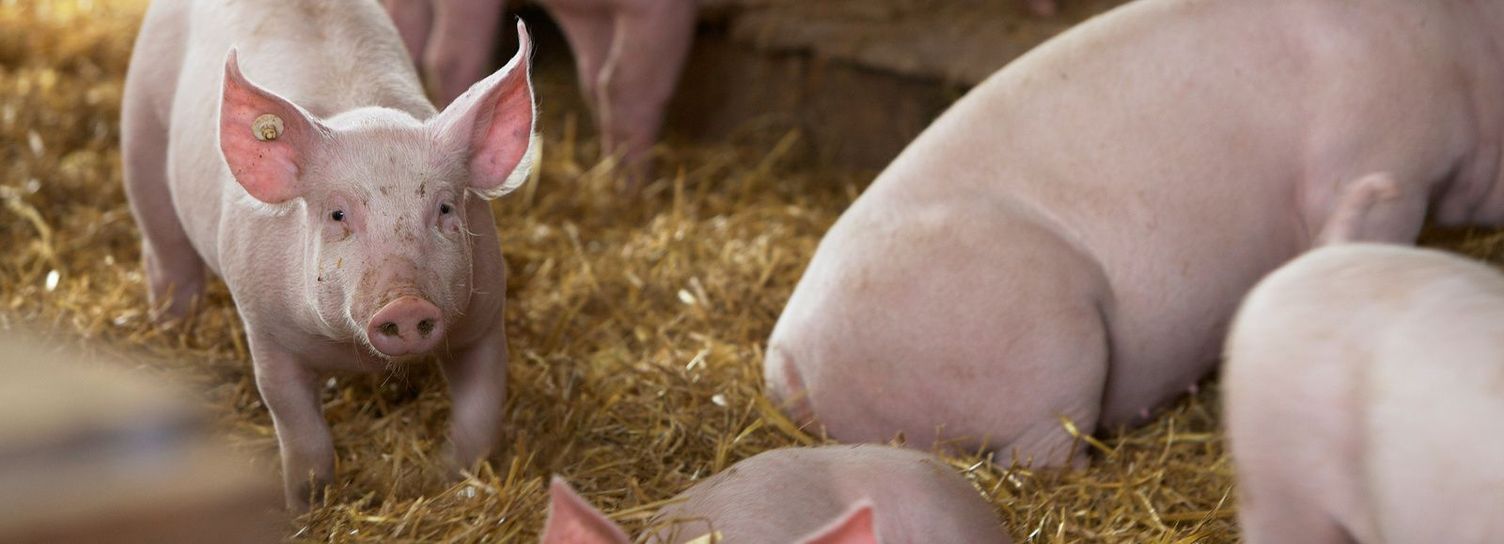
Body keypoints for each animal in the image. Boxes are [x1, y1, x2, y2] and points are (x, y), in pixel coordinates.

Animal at [120, 0, 538, 509]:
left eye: (444, 208)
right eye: (338, 214)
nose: (405, 303)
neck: (355, 354)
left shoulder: (485, 315)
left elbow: (481, 412)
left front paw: (452, 480)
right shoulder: (265, 328)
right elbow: (300, 429)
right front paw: (307, 506)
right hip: (141, 128)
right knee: (166, 253)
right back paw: (172, 329)